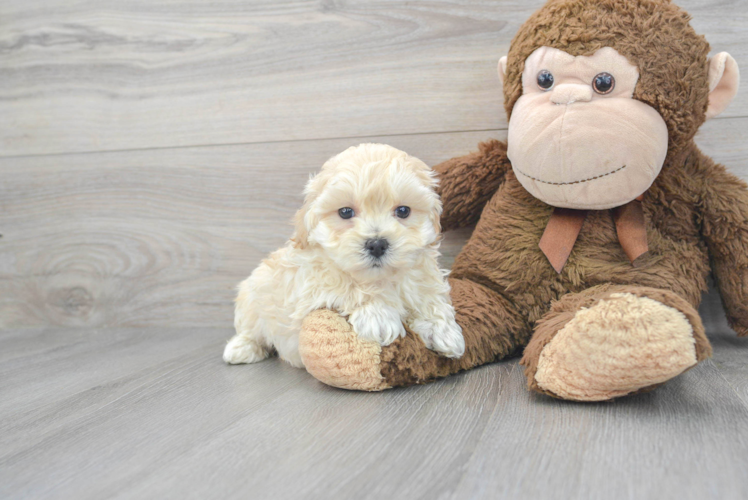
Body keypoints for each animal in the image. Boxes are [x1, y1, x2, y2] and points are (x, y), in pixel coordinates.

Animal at [225, 144, 464, 368]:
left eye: (403, 211)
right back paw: (241, 349)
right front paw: (378, 316)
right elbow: (346, 285)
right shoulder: (310, 285)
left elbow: (429, 296)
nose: (377, 244)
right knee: (250, 330)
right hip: (252, 296)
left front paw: (443, 329)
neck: (380, 279)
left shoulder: (423, 275)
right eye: (345, 212)